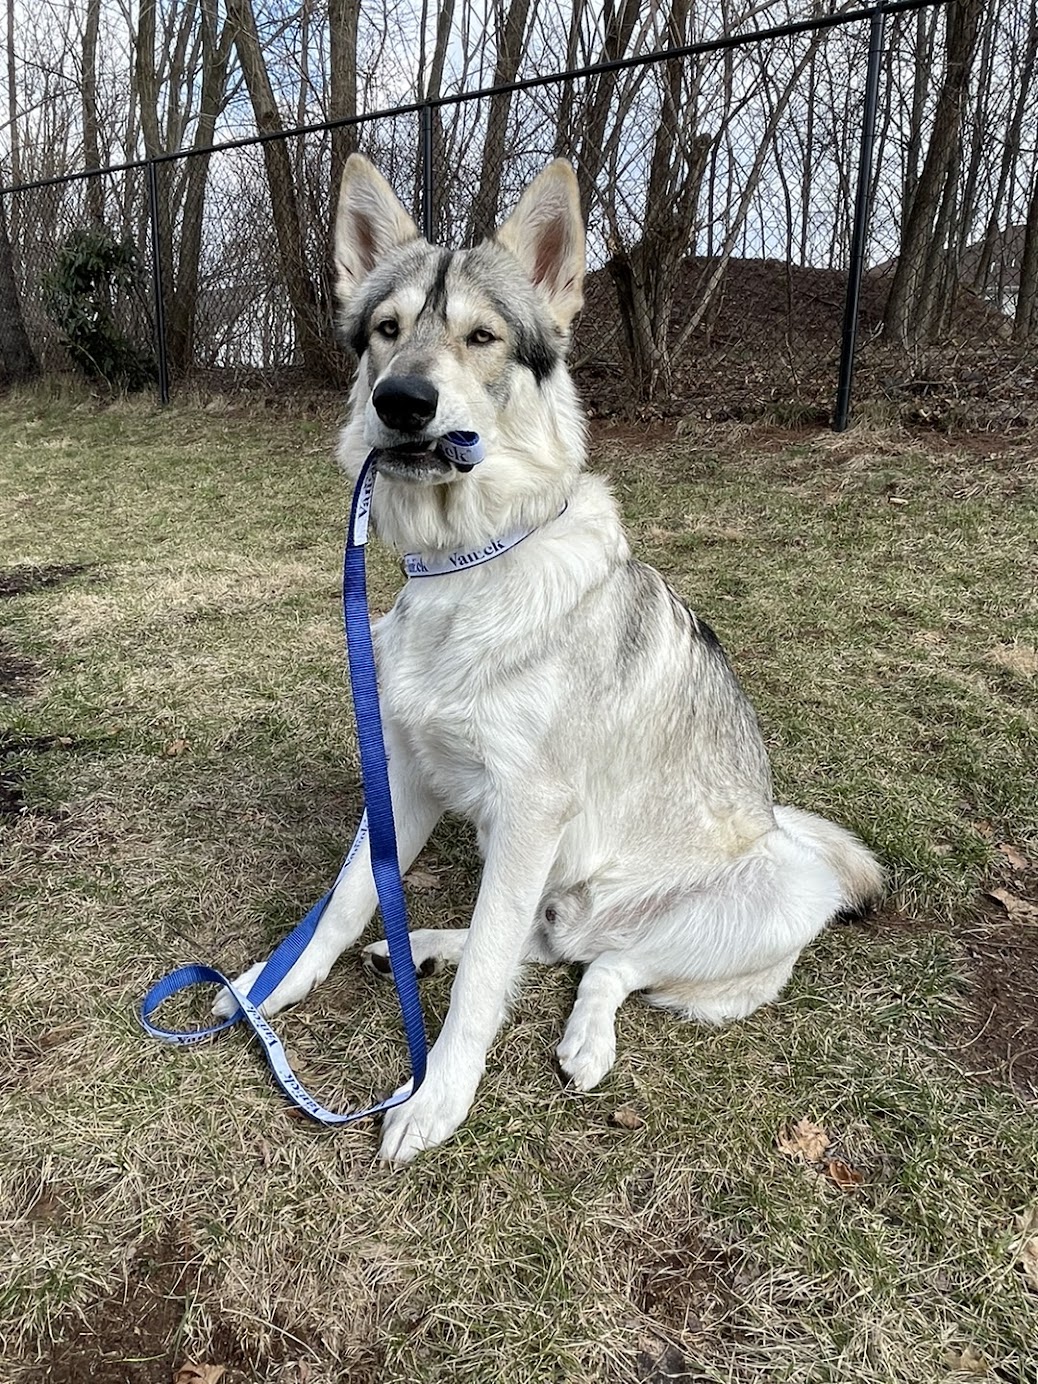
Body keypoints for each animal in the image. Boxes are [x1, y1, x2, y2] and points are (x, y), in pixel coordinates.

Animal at [213, 157, 885, 1162]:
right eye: (387, 331)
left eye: (482, 337)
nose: (401, 402)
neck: (468, 564)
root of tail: (785, 830)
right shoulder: (403, 777)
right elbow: (346, 905)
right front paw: (268, 989)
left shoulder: (531, 810)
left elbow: (484, 984)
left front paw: (436, 1096)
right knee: (547, 945)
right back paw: (425, 945)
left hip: (757, 894)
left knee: (606, 964)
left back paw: (583, 1041)